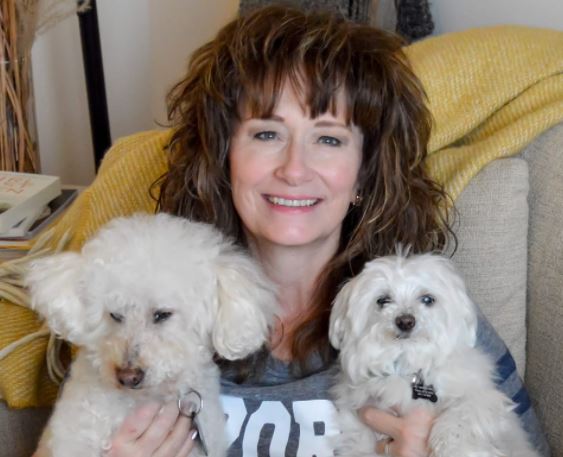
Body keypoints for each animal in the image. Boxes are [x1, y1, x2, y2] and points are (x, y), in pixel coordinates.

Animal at [328, 251, 540, 456]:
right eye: (383, 300)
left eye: (427, 299)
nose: (405, 321)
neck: (409, 361)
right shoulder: (358, 429)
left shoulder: (484, 398)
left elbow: (462, 414)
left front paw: (450, 447)